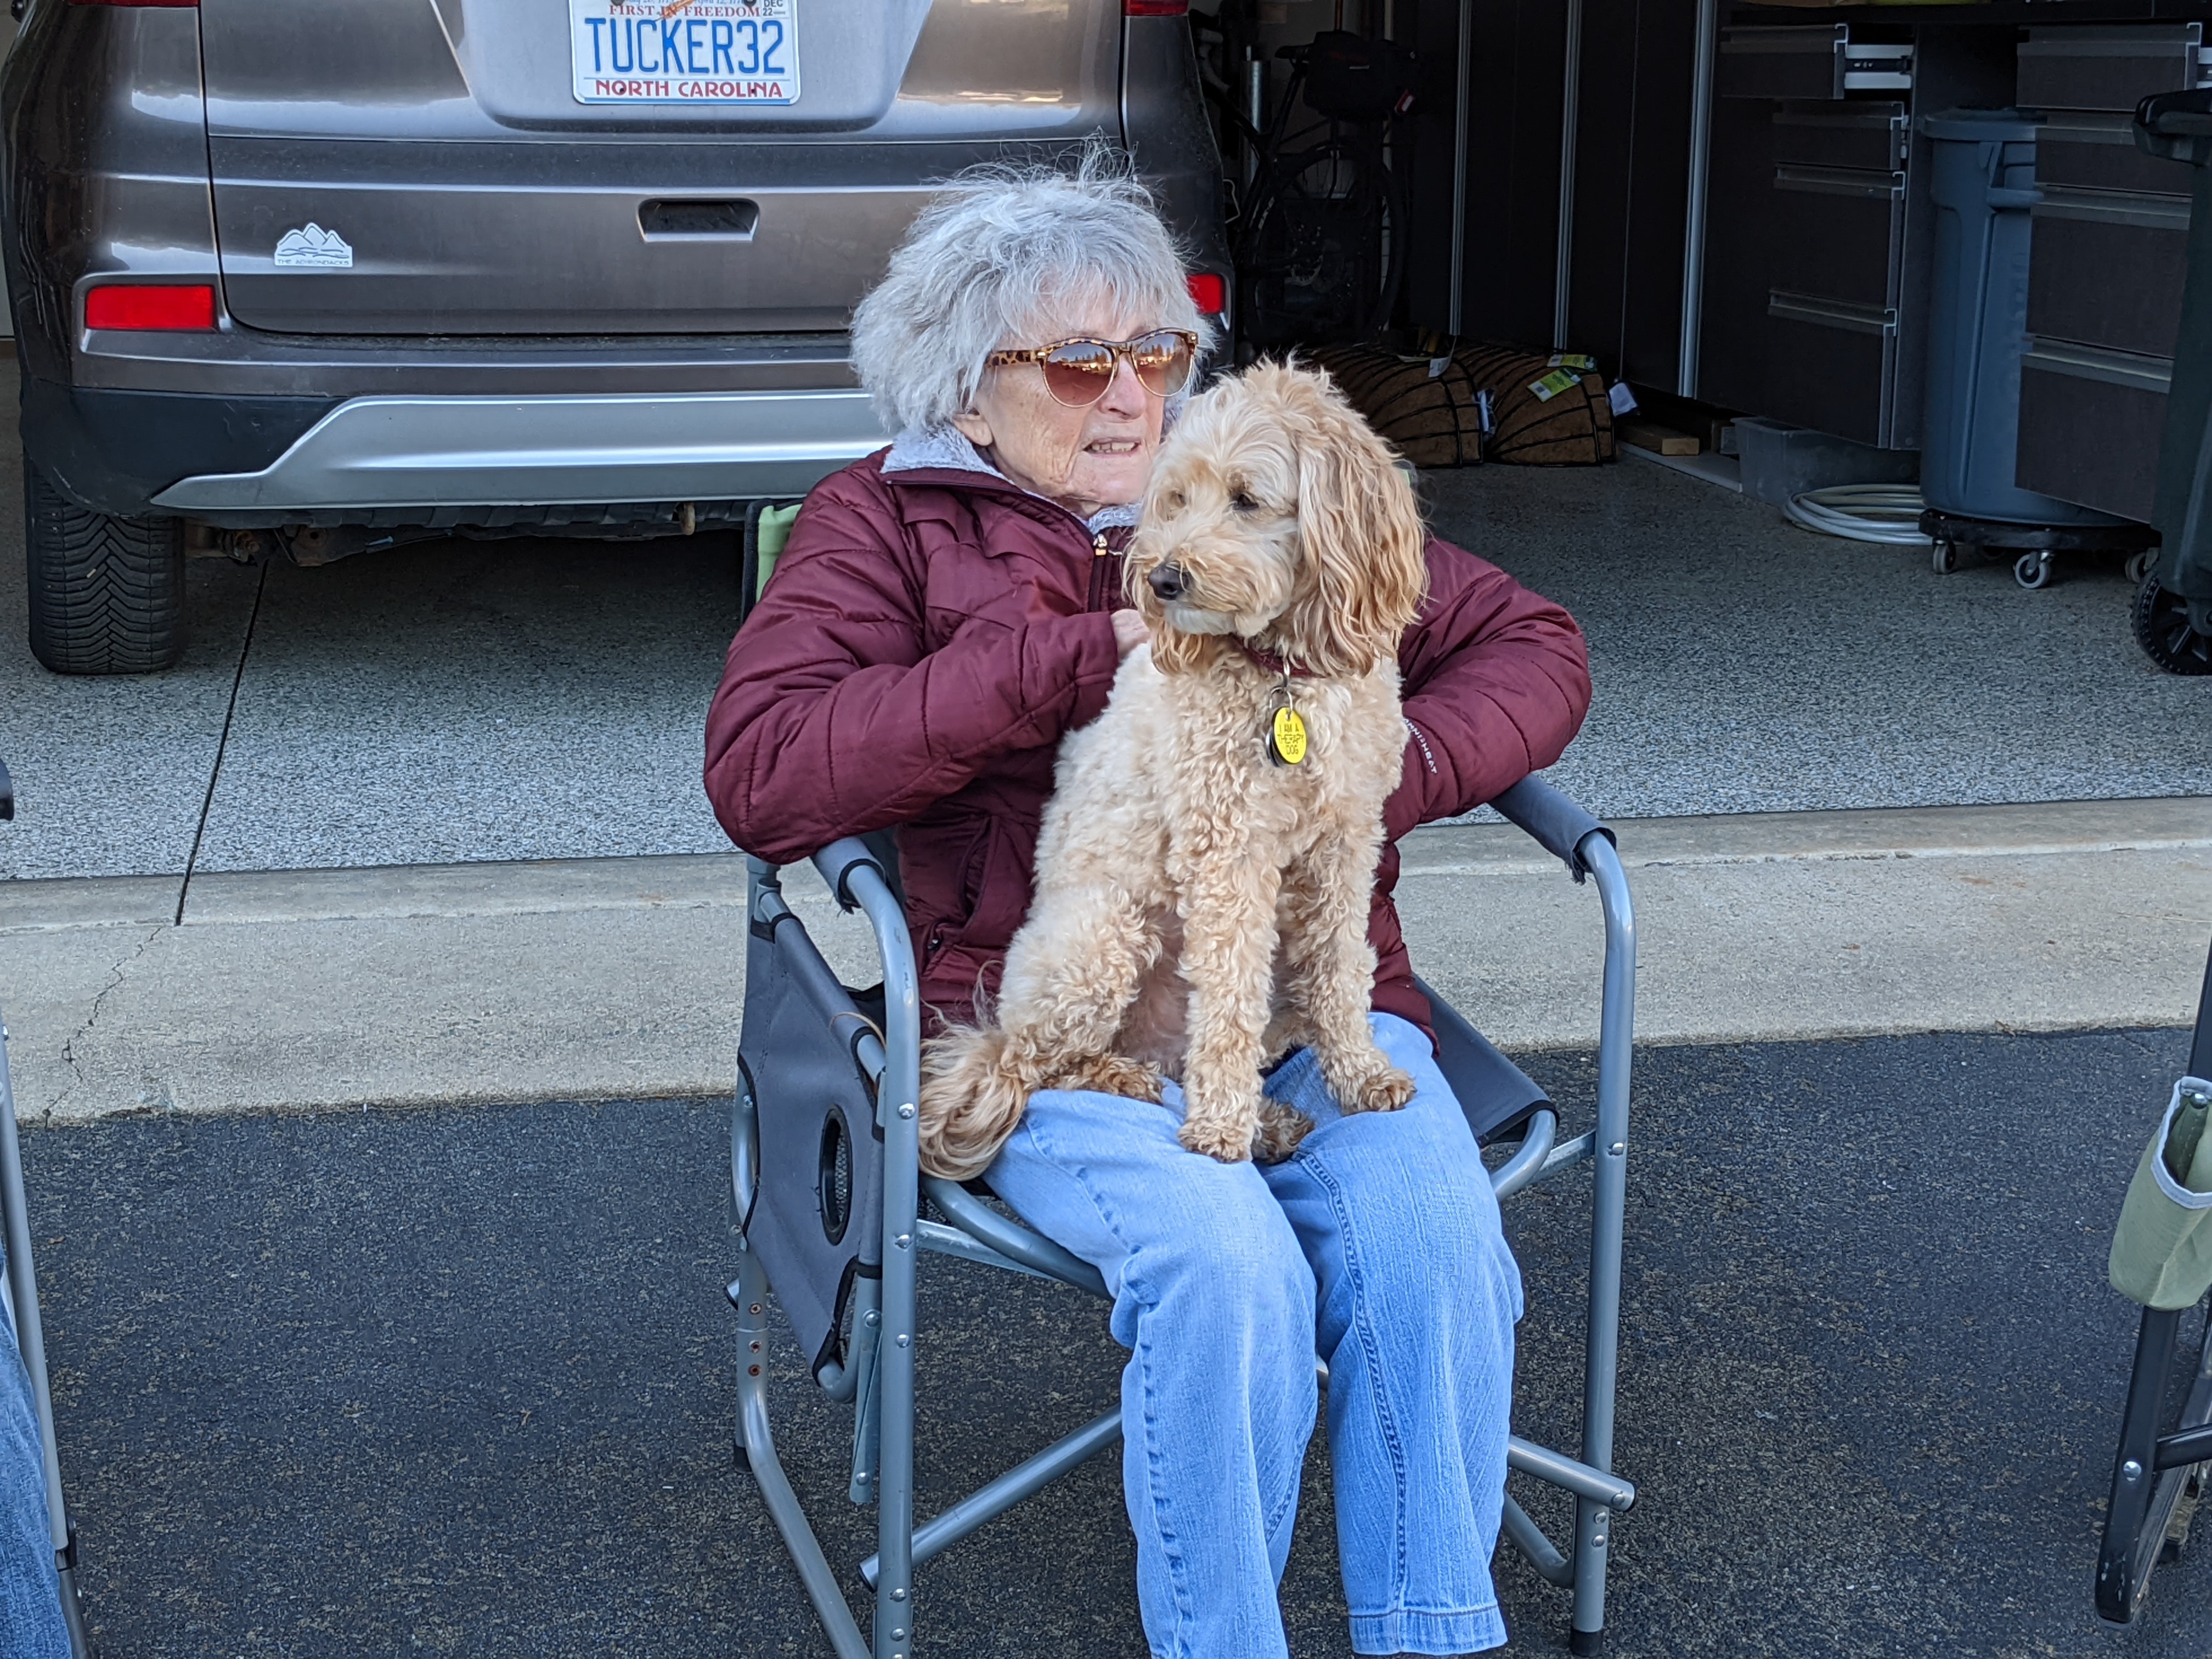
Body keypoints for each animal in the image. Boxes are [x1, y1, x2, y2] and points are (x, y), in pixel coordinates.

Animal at [917, 362, 1432, 1178]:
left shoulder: (1345, 846)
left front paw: (1361, 1073)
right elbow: (1227, 1003)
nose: (1162, 580)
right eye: (1178, 498)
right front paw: (1219, 1127)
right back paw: (1131, 1080)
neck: (1282, 672)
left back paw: (1267, 1122)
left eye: (1246, 498)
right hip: (1100, 934)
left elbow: (1342, 968)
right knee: (1028, 1063)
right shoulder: (1227, 855)